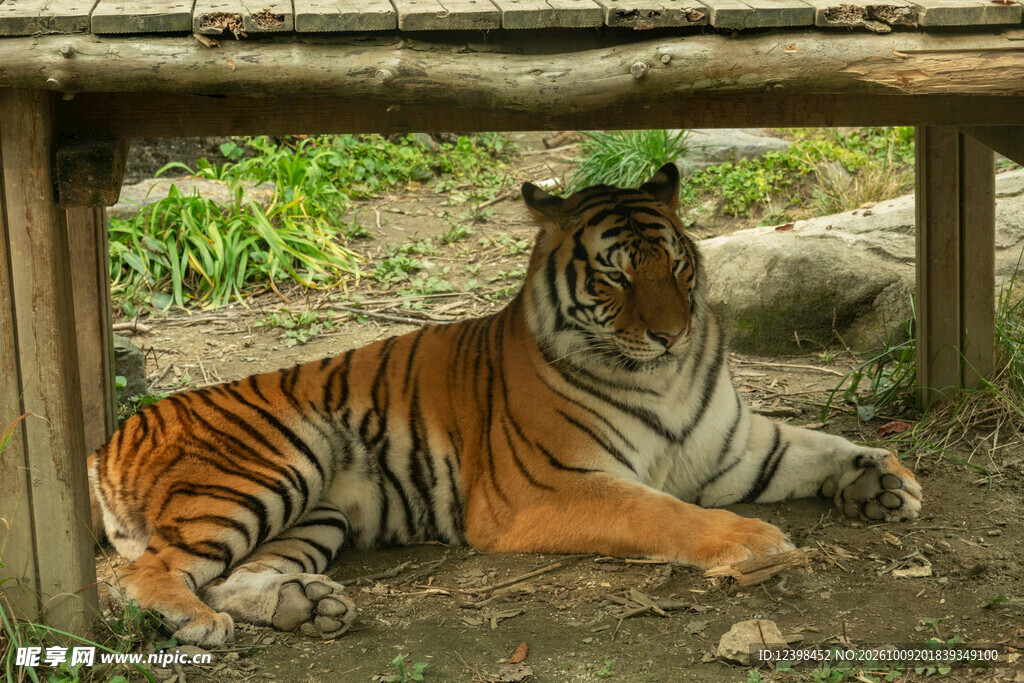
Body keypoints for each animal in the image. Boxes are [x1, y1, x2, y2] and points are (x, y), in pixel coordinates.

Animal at [89, 163, 922, 648]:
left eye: (678, 266)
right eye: (616, 276)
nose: (672, 332)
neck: (664, 375)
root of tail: (107, 439)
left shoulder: (732, 449)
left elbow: (812, 443)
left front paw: (883, 480)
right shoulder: (547, 487)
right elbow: (662, 511)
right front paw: (754, 539)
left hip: (318, 511)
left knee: (229, 574)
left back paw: (310, 607)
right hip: (268, 465)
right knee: (149, 573)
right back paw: (198, 622)